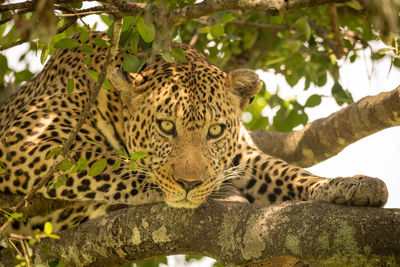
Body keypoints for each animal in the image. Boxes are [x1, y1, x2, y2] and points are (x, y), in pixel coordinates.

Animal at [0, 33, 388, 234]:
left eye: (215, 131)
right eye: (165, 126)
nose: (189, 184)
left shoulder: (243, 157)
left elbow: (290, 172)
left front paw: (350, 184)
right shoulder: (25, 140)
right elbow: (113, 164)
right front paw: (196, 192)